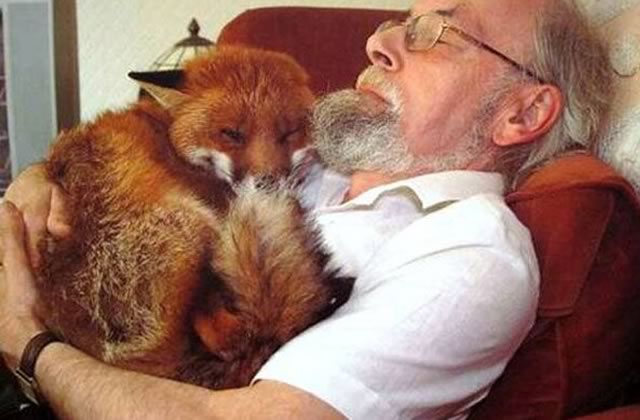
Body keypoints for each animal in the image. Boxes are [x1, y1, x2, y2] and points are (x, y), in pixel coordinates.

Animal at [36, 46, 354, 389]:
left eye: (289, 133)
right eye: (231, 134)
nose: (267, 183)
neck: (168, 133)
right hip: (196, 225)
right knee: (231, 332)